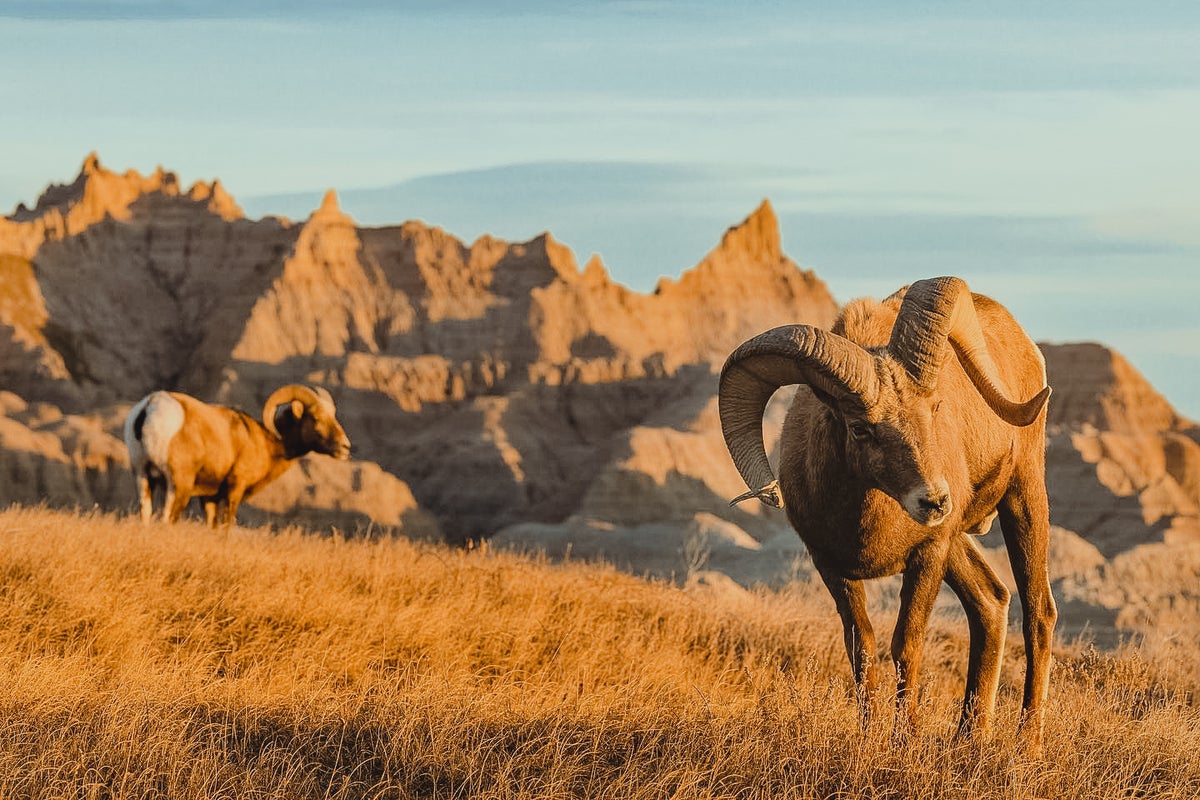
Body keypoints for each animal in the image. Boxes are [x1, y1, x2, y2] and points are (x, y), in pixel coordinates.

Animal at [125, 383, 350, 527]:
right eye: (316, 418)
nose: (345, 447)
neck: (264, 441)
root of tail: (151, 405)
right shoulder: (235, 489)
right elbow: (226, 526)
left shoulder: (209, 497)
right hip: (179, 485)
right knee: (167, 519)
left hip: (143, 477)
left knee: (145, 514)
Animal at [715, 278, 1056, 753]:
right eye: (861, 428)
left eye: (934, 408)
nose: (935, 501)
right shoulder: (832, 568)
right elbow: (862, 649)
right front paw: (869, 734)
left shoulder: (928, 555)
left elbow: (906, 645)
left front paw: (905, 740)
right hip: (960, 544)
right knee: (990, 602)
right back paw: (969, 738)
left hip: (1022, 499)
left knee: (1039, 614)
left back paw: (1027, 745)